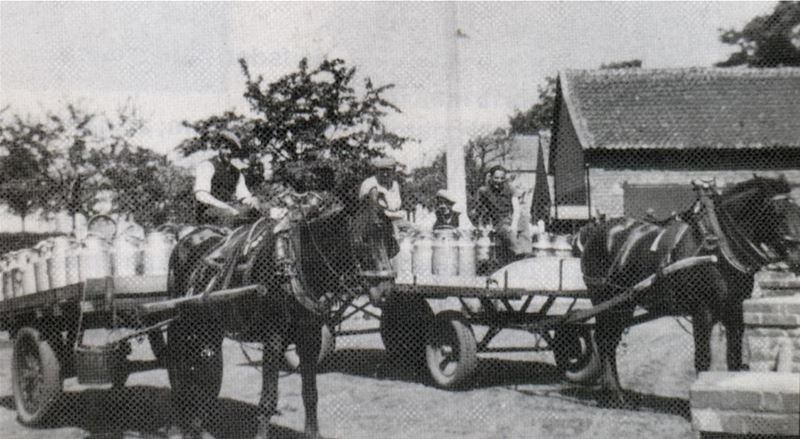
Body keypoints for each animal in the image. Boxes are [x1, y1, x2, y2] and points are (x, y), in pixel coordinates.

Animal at [166, 198, 396, 438]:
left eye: (391, 240)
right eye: (362, 240)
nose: (385, 291)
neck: (292, 265)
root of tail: (187, 238)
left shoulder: (310, 337)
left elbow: (310, 393)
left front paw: (313, 433)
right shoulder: (273, 339)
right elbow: (268, 399)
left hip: (210, 325)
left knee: (206, 365)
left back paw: (199, 422)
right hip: (182, 320)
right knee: (179, 362)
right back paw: (181, 421)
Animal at [576, 177, 800, 410]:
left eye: (798, 209)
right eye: (777, 210)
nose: (796, 256)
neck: (718, 245)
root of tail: (597, 231)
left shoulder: (735, 311)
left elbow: (734, 357)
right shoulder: (702, 311)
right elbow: (703, 357)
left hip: (625, 303)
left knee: (609, 340)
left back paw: (615, 394)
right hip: (606, 299)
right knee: (604, 340)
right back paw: (613, 394)